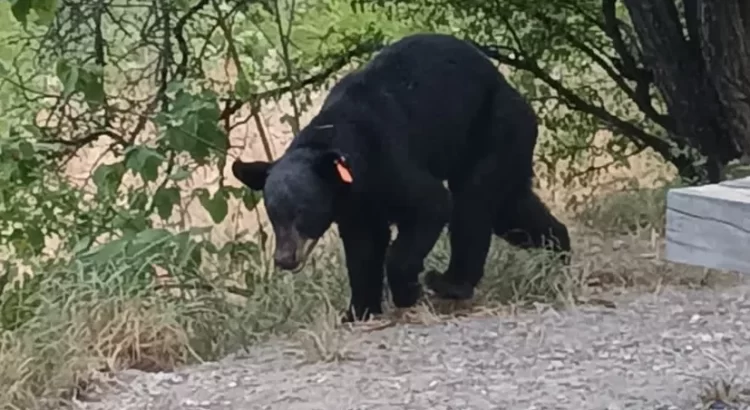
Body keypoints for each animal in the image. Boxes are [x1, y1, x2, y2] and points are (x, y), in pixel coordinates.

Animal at [231, 32, 570, 322]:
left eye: (303, 213)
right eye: (273, 214)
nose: (284, 259)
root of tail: (512, 89)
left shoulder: (389, 161)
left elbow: (430, 205)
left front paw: (407, 291)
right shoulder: (354, 205)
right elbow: (362, 249)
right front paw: (358, 311)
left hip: (496, 129)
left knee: (472, 203)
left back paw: (451, 282)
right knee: (510, 210)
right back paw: (559, 250)